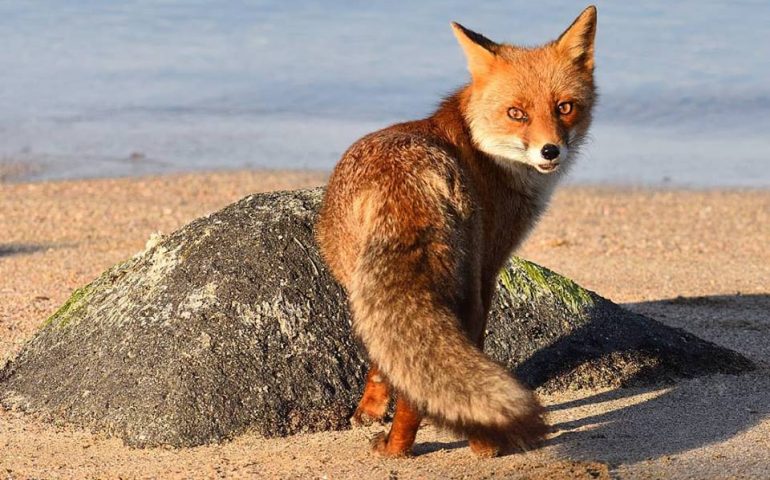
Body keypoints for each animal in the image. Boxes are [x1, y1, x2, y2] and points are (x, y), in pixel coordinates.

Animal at [316, 6, 596, 458]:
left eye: (565, 107)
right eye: (517, 113)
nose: (551, 151)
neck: (483, 148)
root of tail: (407, 182)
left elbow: (383, 363)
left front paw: (370, 408)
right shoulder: (489, 270)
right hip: (466, 289)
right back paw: (443, 445)